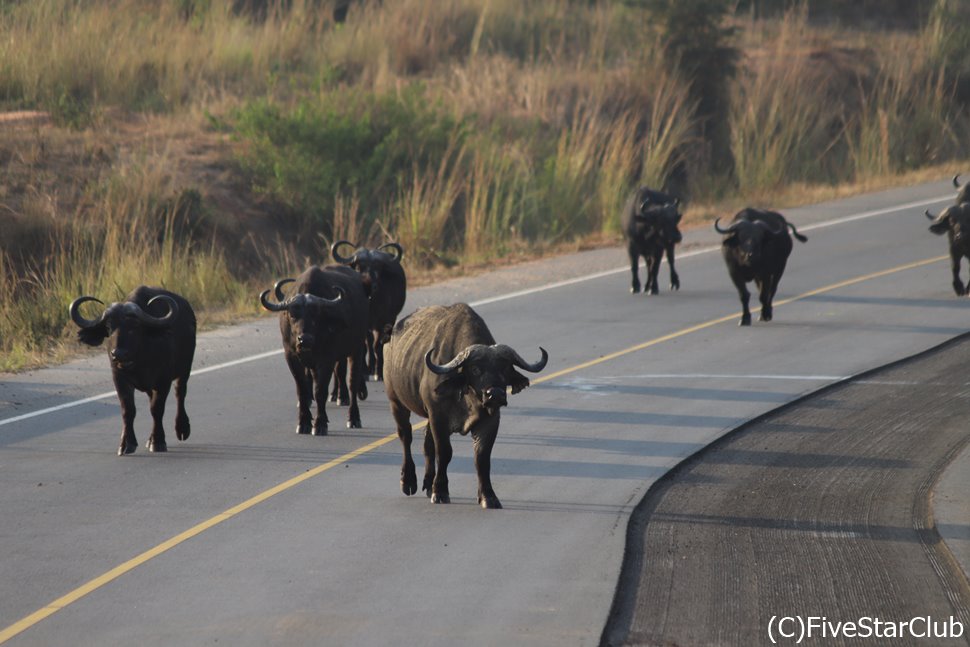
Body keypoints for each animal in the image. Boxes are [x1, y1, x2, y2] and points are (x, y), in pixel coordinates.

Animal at [69, 284, 196, 456]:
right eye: (108, 327)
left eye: (134, 327)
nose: (118, 353)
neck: (139, 360)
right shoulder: (119, 378)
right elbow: (128, 410)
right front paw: (126, 444)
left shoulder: (163, 381)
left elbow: (157, 409)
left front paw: (158, 442)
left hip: (184, 370)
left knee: (180, 394)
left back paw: (181, 429)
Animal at [260, 266, 368, 438]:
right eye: (292, 314)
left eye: (316, 315)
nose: (305, 339)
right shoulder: (291, 357)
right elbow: (302, 390)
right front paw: (303, 423)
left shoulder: (326, 359)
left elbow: (320, 391)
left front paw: (320, 424)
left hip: (356, 349)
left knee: (352, 383)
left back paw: (353, 418)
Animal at [384, 306, 548, 512]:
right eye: (476, 369)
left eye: (504, 369)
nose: (495, 394)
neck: (468, 400)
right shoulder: (438, 417)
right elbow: (444, 452)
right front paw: (440, 492)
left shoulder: (490, 420)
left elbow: (482, 458)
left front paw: (488, 496)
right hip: (396, 402)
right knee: (406, 436)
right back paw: (408, 481)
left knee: (427, 444)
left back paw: (428, 484)